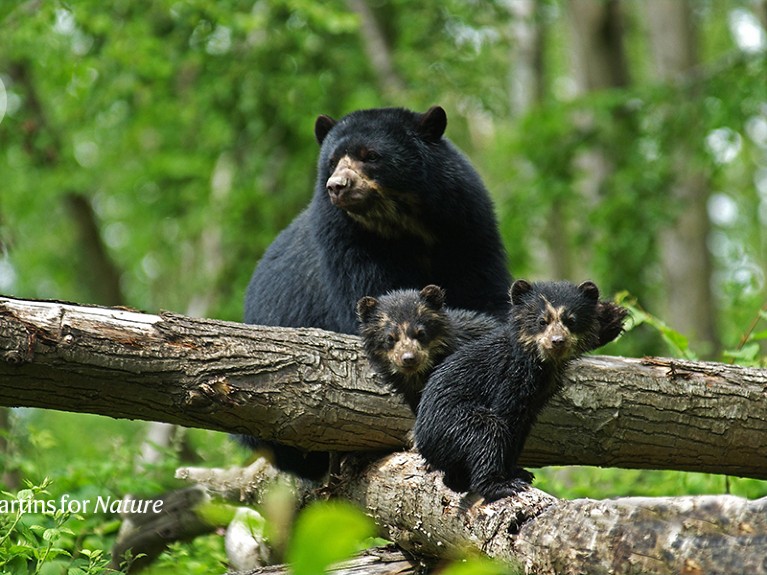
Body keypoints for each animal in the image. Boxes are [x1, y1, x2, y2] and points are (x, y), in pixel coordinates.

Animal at [416, 282, 628, 502]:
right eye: (542, 321)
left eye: (571, 320)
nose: (557, 341)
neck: (541, 363)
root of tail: (423, 443)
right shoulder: (512, 378)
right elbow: (507, 417)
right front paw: (510, 476)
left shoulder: (539, 397)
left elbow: (522, 429)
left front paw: (519, 471)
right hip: (451, 425)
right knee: (488, 432)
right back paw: (499, 485)